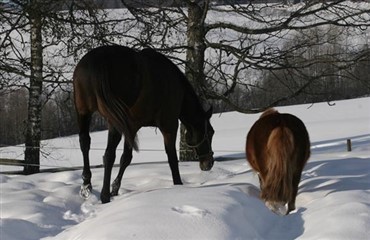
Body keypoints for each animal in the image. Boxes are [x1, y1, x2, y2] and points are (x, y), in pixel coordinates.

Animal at [73, 45, 215, 202]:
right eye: (210, 132)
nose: (209, 163)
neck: (178, 89)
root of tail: (100, 61)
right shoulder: (168, 126)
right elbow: (171, 157)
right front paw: (178, 184)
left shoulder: (132, 128)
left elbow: (125, 158)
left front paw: (115, 189)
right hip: (113, 122)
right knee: (108, 155)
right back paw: (104, 196)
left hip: (84, 112)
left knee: (85, 142)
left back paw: (87, 184)